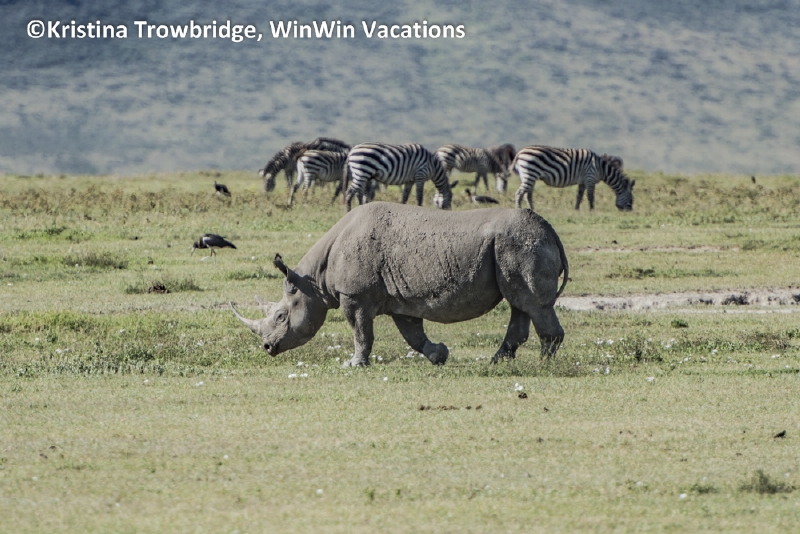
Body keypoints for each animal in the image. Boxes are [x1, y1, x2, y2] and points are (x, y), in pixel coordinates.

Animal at [230, 202, 569, 367]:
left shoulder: (355, 296)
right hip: (512, 247)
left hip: (519, 244)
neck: (314, 280)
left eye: (281, 316)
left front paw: (354, 364)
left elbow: (361, 333)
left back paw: (543, 365)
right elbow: (413, 335)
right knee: (519, 303)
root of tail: (550, 229)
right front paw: (439, 355)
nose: (267, 347)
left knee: (532, 303)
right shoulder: (402, 300)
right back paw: (498, 362)